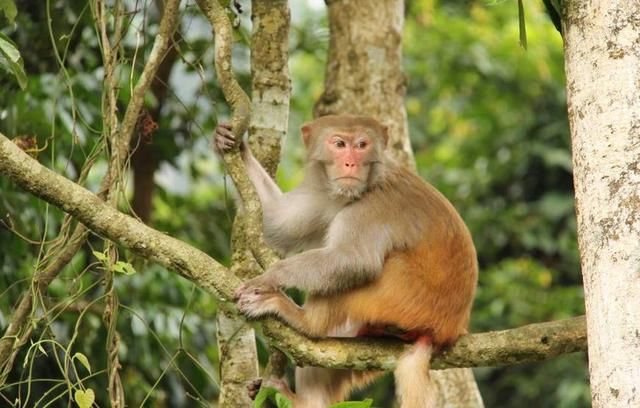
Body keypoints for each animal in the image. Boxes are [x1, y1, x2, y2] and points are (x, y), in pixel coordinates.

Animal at [214, 115, 476, 408]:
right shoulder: (326, 194)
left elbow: (354, 260)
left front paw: (269, 277)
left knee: (359, 271)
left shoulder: (372, 209)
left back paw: (305, 321)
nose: (350, 163)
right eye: (339, 144)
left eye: (362, 145)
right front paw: (231, 143)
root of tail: (443, 331)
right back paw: (305, 401)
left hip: (400, 299)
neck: (362, 188)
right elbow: (276, 223)